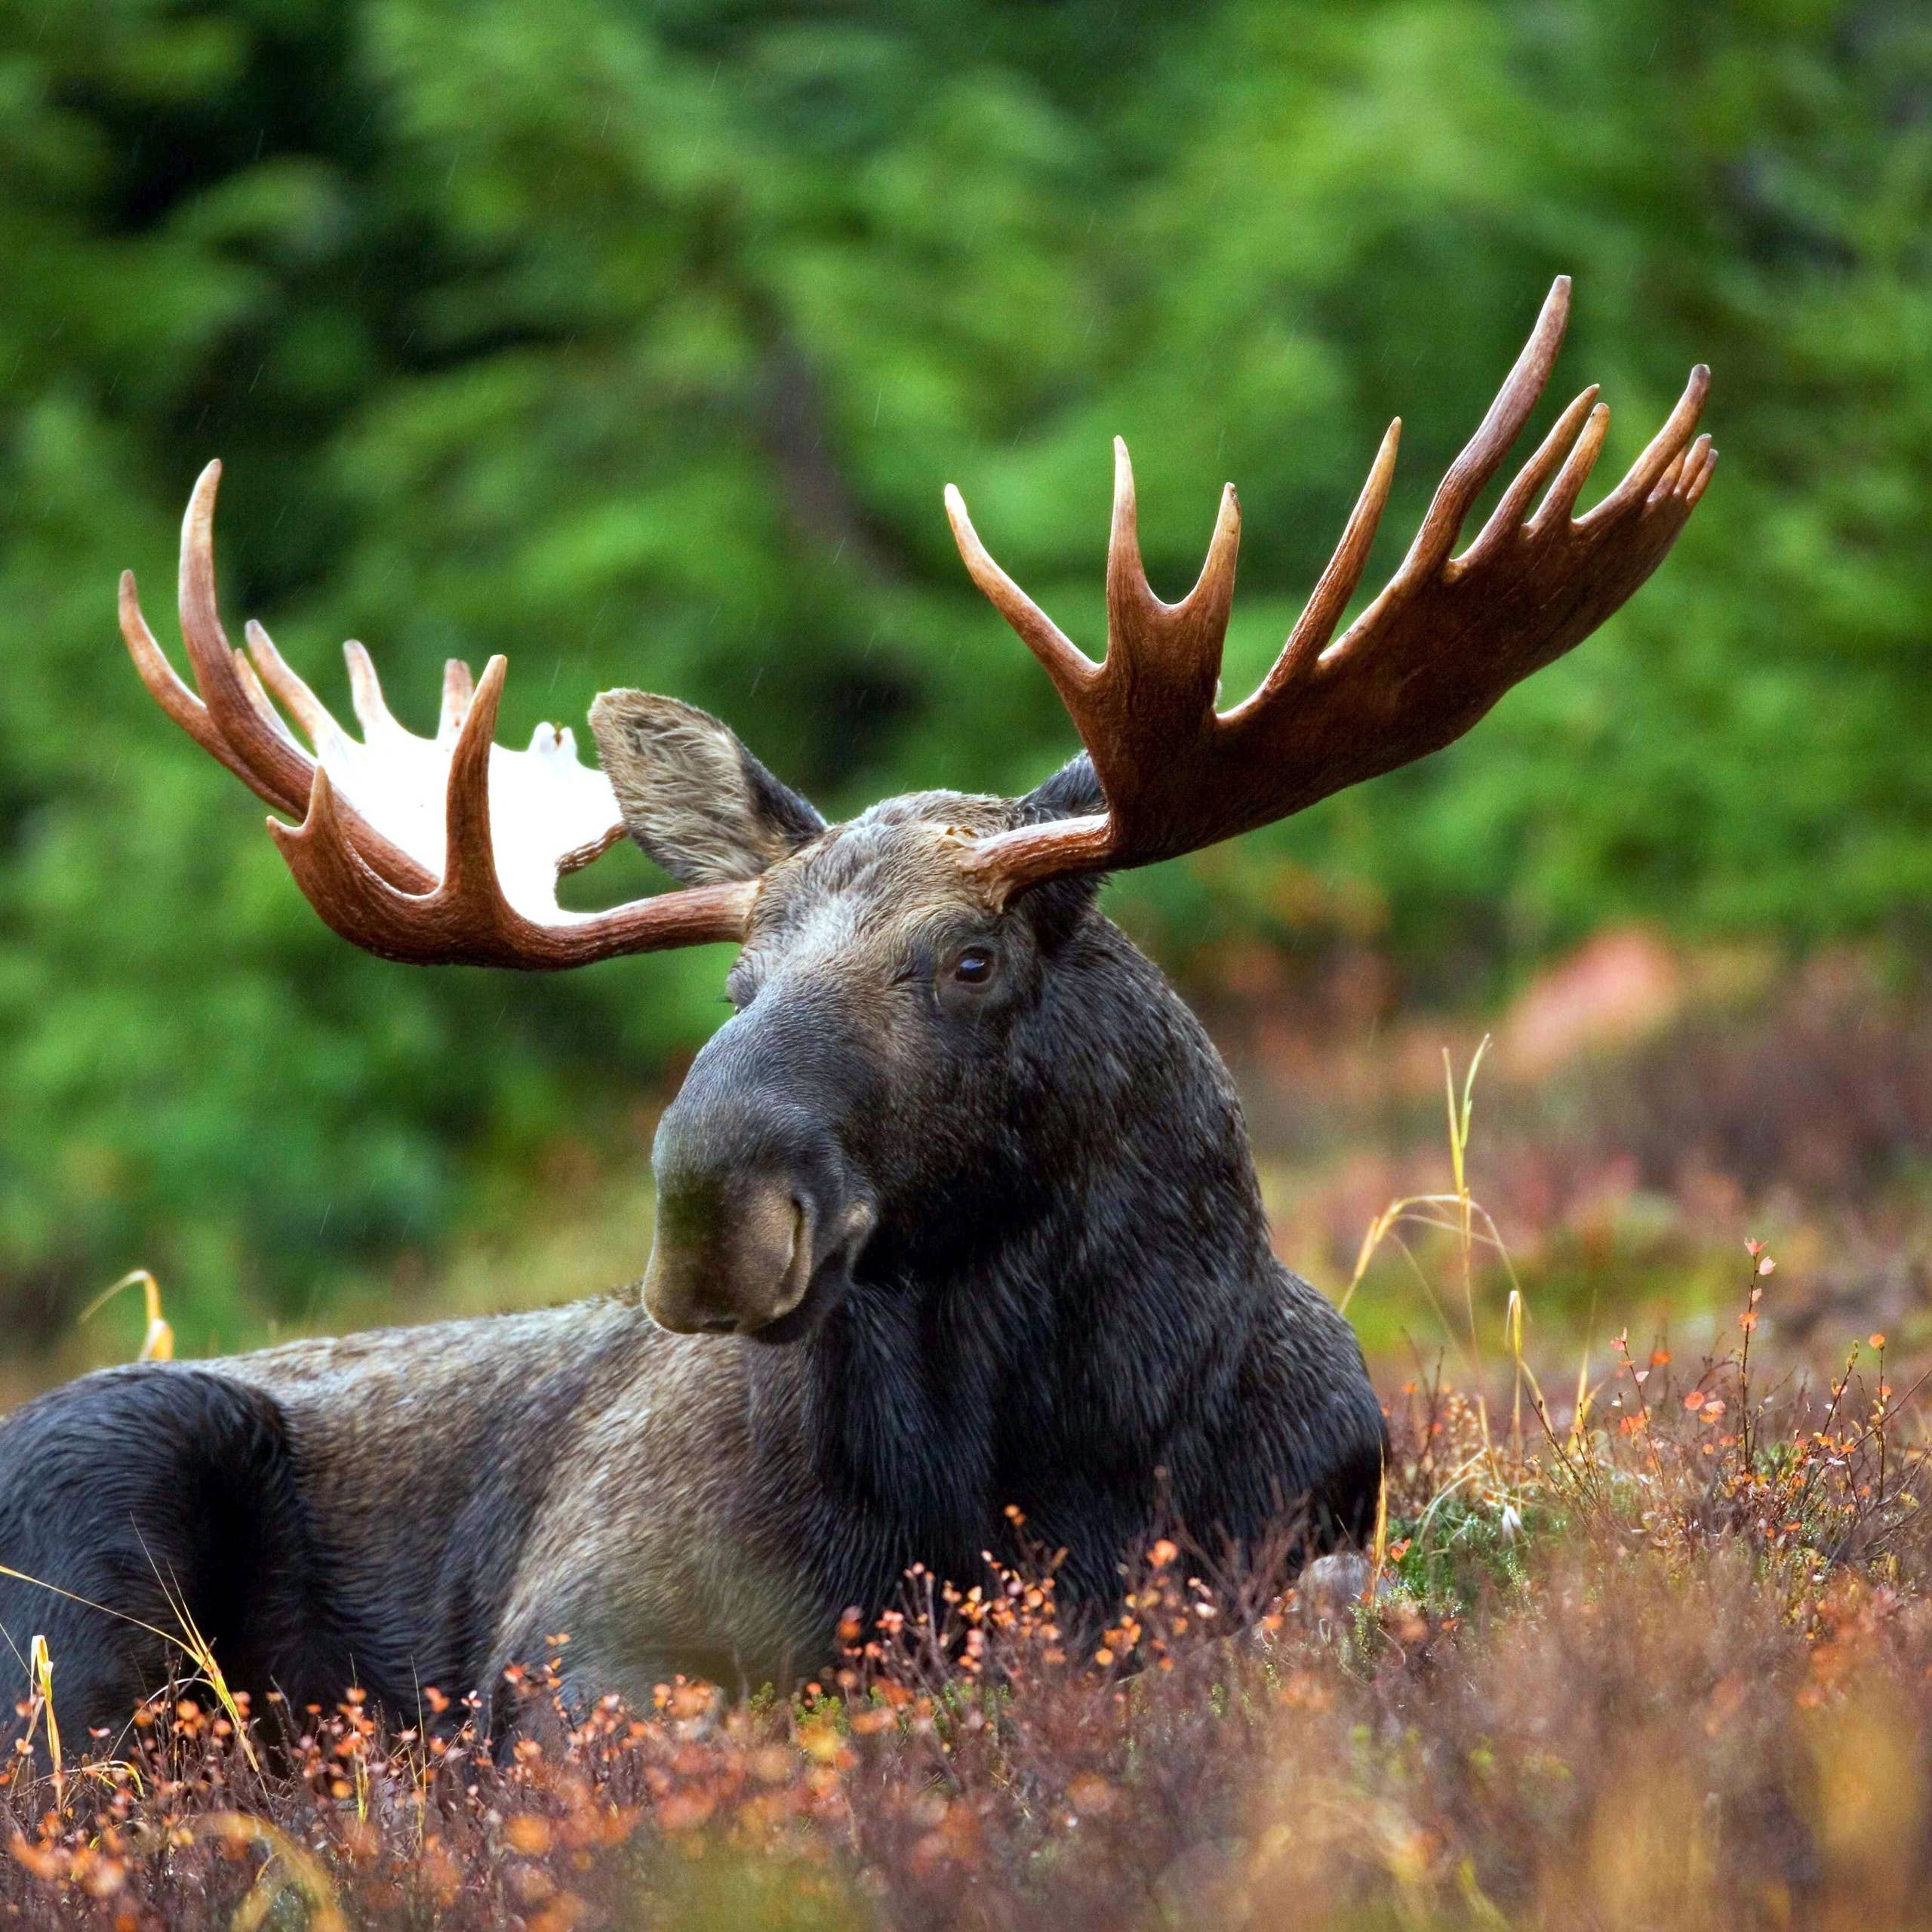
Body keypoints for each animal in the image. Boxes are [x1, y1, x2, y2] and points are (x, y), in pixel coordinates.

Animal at [0, 279, 1712, 1743]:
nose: (711, 1211)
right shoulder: (579, 1629)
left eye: (969, 960)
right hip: (94, 1506)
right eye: (734, 981)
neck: (1044, 1468)